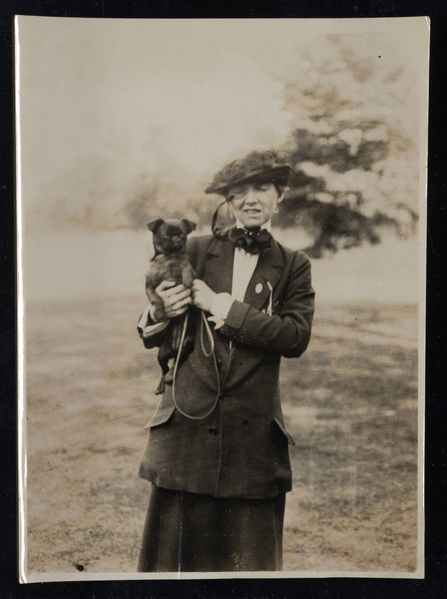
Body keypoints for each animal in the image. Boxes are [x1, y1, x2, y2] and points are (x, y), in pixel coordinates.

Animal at [146, 218, 197, 396]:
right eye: (166, 236)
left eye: (182, 235)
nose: (176, 239)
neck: (170, 258)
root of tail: (174, 348)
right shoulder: (150, 287)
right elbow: (157, 298)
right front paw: (159, 312)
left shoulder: (192, 270)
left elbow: (187, 266)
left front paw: (186, 277)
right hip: (161, 354)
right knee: (164, 369)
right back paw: (161, 384)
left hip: (186, 345)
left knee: (175, 364)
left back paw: (169, 377)